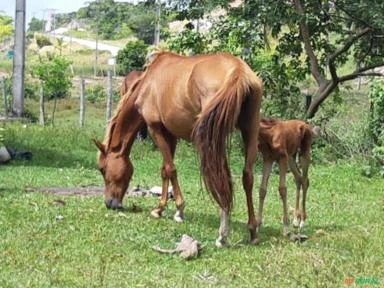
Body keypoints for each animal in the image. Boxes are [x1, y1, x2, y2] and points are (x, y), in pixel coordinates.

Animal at [92, 50, 264, 246]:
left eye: (102, 169)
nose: (109, 203)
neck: (148, 82)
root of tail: (238, 71)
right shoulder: (170, 134)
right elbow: (164, 170)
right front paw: (160, 208)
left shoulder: (155, 129)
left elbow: (170, 169)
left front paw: (179, 210)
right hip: (250, 129)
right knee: (247, 177)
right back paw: (252, 231)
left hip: (215, 139)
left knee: (221, 178)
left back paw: (223, 234)